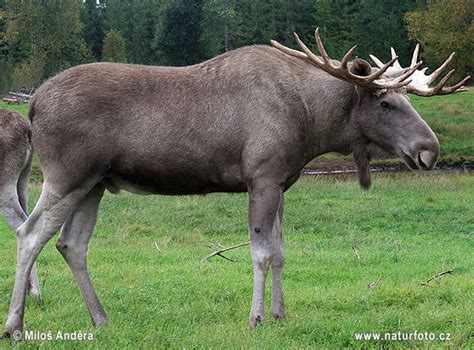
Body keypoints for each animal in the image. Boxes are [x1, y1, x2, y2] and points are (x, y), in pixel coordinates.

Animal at [1, 28, 468, 336]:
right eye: (386, 102)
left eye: (405, 97)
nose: (430, 150)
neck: (313, 123)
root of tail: (34, 103)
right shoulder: (261, 176)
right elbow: (261, 253)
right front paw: (257, 318)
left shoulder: (283, 182)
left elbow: (281, 252)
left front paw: (280, 313)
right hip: (67, 175)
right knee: (29, 233)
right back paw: (16, 325)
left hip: (95, 182)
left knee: (71, 244)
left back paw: (100, 318)